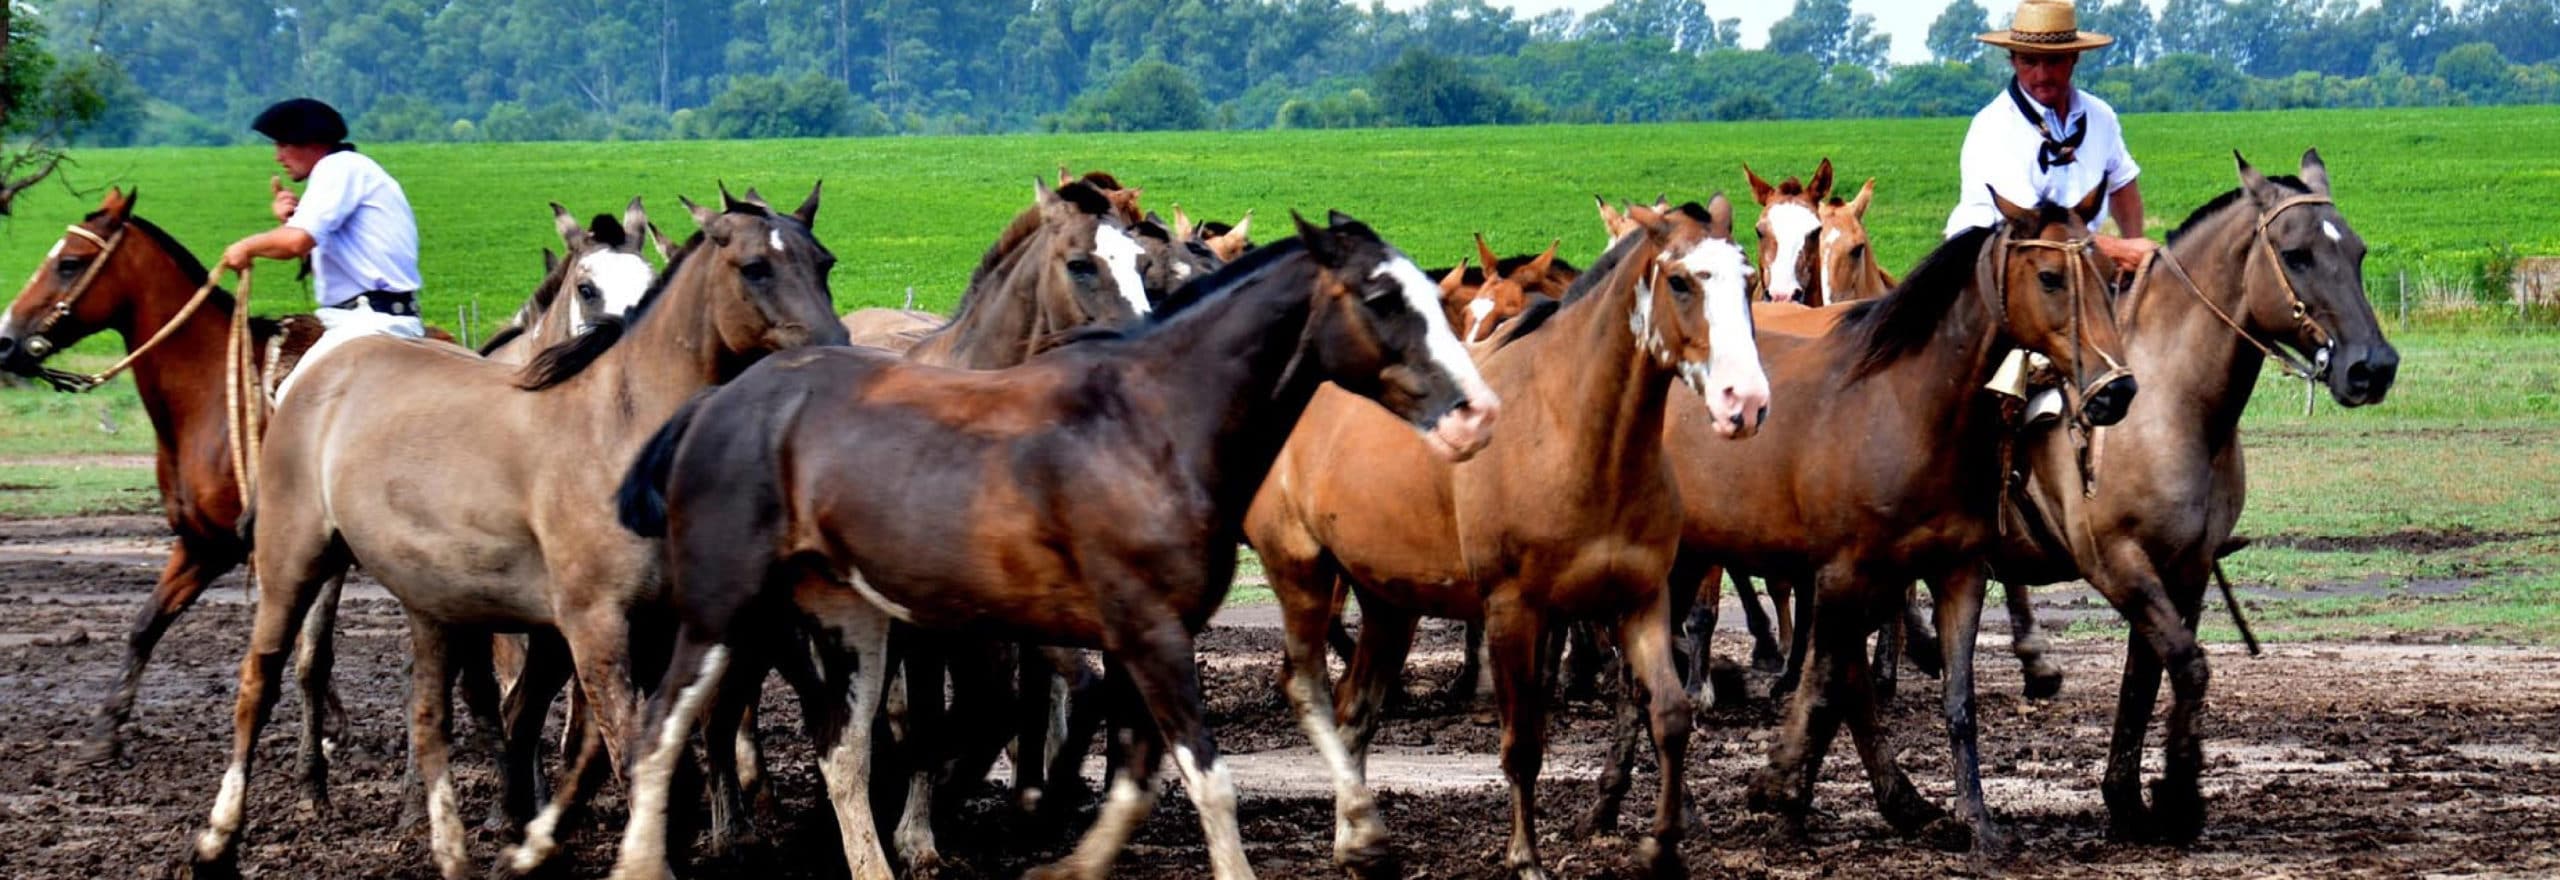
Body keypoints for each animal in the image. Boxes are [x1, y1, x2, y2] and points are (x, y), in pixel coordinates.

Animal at [609, 211, 1505, 880]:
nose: (1476, 414)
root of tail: (712, 406)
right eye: (1380, 296)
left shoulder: (1143, 636)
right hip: (725, 610)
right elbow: (1207, 779)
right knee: (660, 726)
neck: (1150, 427)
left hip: (850, 619)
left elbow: (1137, 778)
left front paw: (1068, 860)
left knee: (841, 751)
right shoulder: (1146, 632)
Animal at [1249, 199, 1771, 880]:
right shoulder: (1512, 610)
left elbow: (1670, 715)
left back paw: (1355, 841)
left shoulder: (1640, 600)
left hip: (1389, 600)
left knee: (1354, 711)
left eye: (1748, 282)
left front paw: (1661, 847)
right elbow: (1523, 742)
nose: (1746, 402)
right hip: (1304, 574)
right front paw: (1526, 858)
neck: (1578, 436)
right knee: (1308, 690)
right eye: (1681, 281)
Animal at [1576, 185, 2140, 859]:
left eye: (2108, 274)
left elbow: (1954, 699)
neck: (1912, 406)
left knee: (1641, 679)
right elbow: (1829, 689)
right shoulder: (1845, 574)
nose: (2117, 390)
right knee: (1645, 678)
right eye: (2050, 276)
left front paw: (1973, 820)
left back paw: (1623, 803)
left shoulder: (1957, 572)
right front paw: (1786, 792)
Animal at [1976, 150, 2396, 844]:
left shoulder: (2188, 565)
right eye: (2296, 254)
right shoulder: (2116, 561)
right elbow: (2187, 663)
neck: (2169, 404)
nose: (2374, 367)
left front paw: (2132, 797)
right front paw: (2175, 796)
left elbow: (2150, 672)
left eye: (2358, 252)